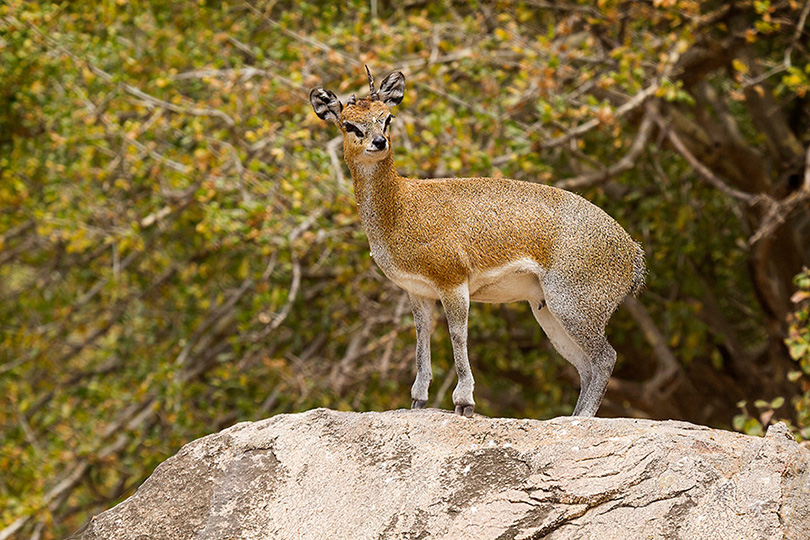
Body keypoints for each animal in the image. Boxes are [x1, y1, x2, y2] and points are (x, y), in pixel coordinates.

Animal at [310, 65, 644, 416]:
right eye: (348, 124)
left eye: (387, 118)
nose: (379, 141)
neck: (402, 207)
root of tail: (632, 251)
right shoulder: (418, 291)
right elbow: (421, 339)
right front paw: (418, 400)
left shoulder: (453, 282)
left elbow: (457, 335)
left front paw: (464, 401)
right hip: (547, 310)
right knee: (586, 365)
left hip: (573, 304)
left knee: (605, 358)